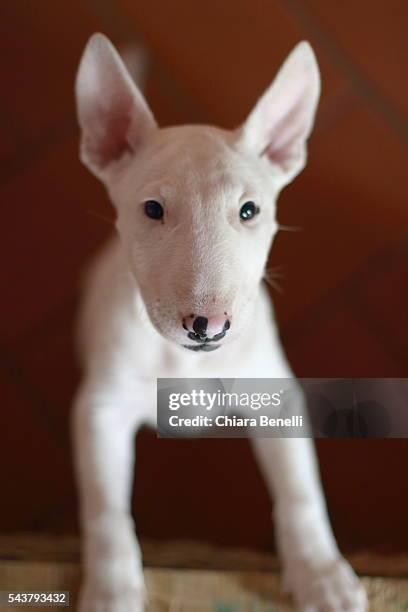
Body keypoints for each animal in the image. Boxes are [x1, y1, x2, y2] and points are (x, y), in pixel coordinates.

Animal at [72, 33, 366, 612]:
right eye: (152, 209)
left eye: (250, 210)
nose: (207, 325)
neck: (183, 362)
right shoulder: (99, 411)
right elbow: (106, 512)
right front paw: (112, 590)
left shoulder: (278, 398)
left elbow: (300, 493)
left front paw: (321, 575)